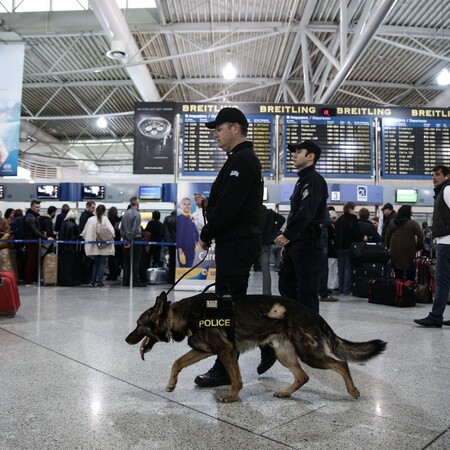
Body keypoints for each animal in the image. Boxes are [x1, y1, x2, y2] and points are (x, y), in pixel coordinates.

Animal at [126, 292, 386, 404]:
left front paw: (232, 397)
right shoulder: (205, 351)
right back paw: (286, 393)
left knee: (341, 364)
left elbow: (236, 379)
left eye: (139, 325)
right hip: (284, 353)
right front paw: (171, 384)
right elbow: (177, 362)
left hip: (309, 353)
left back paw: (353, 391)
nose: (127, 339)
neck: (185, 315)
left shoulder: (227, 352)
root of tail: (314, 314)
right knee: (302, 376)